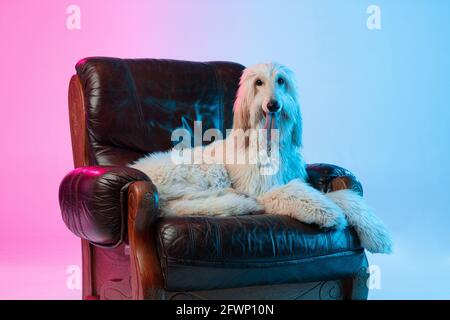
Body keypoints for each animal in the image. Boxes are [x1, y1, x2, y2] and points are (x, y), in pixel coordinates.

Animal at [128, 62, 392, 252]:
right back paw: (241, 203)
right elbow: (293, 192)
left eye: (281, 81)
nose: (273, 105)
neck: (268, 143)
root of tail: (142, 167)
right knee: (181, 205)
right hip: (205, 170)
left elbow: (343, 196)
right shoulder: (262, 190)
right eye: (258, 82)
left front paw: (378, 234)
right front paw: (326, 212)